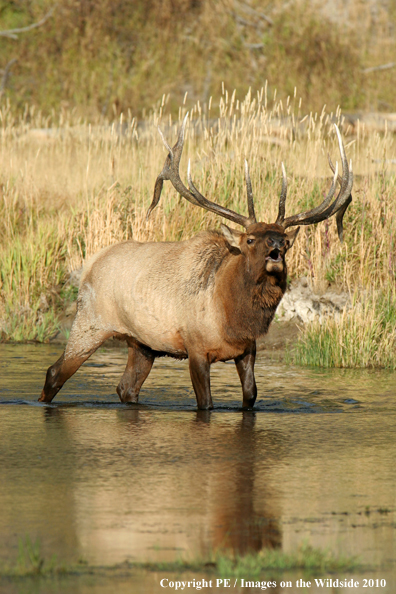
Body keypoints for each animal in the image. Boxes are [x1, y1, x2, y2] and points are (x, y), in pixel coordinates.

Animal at [39, 118, 352, 410]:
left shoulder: (248, 349)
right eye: (250, 239)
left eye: (286, 241)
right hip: (90, 322)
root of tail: (90, 264)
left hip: (142, 343)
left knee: (126, 387)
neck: (231, 317)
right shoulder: (196, 347)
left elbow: (251, 396)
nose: (275, 244)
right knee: (54, 372)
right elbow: (206, 403)